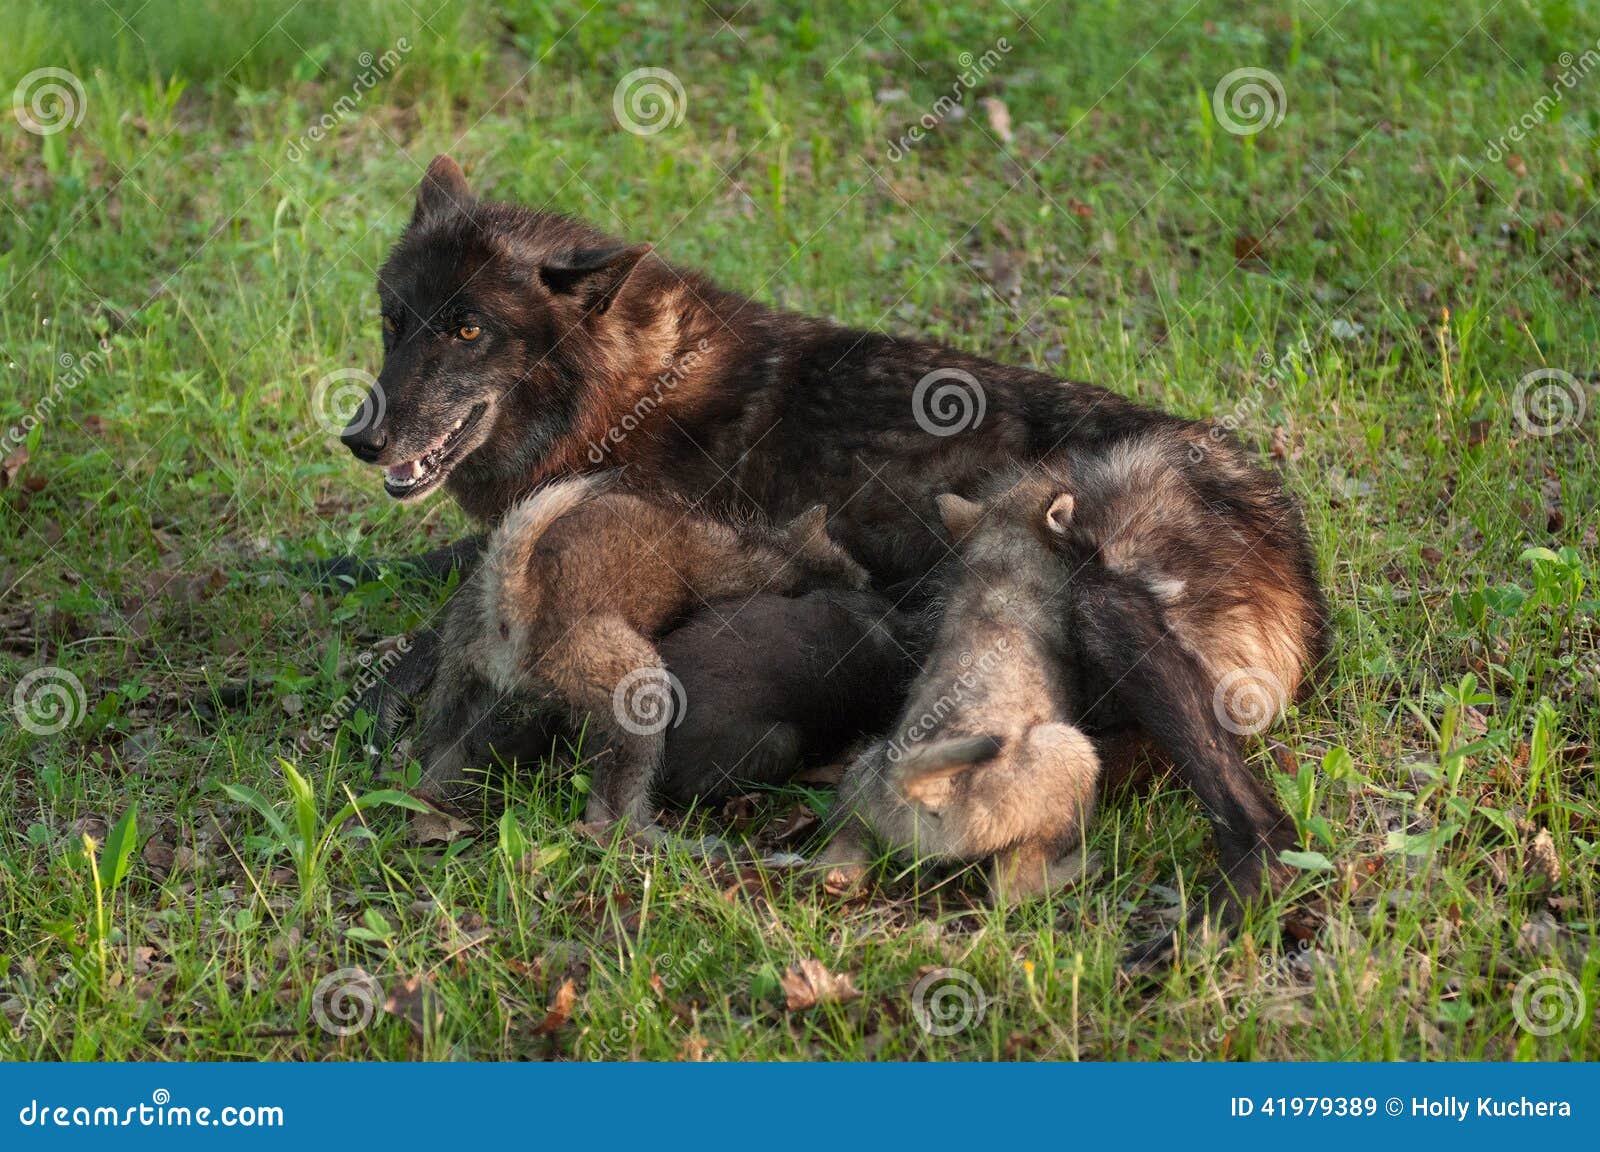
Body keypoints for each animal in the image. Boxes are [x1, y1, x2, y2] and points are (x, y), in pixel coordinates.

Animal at [339, 155, 1328, 951]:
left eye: (468, 330)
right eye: (393, 319)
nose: (360, 438)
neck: (627, 382)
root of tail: (1284, 535)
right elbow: (431, 582)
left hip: (1099, 595)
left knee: (1263, 829)